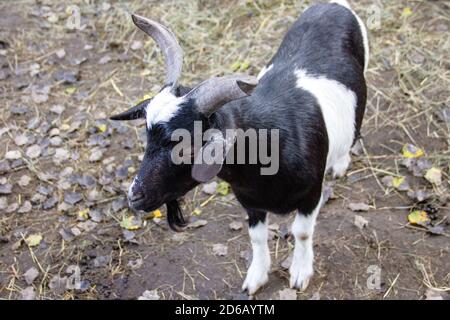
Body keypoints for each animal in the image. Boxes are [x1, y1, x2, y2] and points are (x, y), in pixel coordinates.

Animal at [110, 0, 370, 296]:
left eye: (186, 147)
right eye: (147, 135)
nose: (134, 196)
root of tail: (334, 5)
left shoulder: (311, 194)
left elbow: (302, 232)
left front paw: (300, 273)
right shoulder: (249, 200)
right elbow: (256, 237)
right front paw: (256, 277)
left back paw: (339, 164)